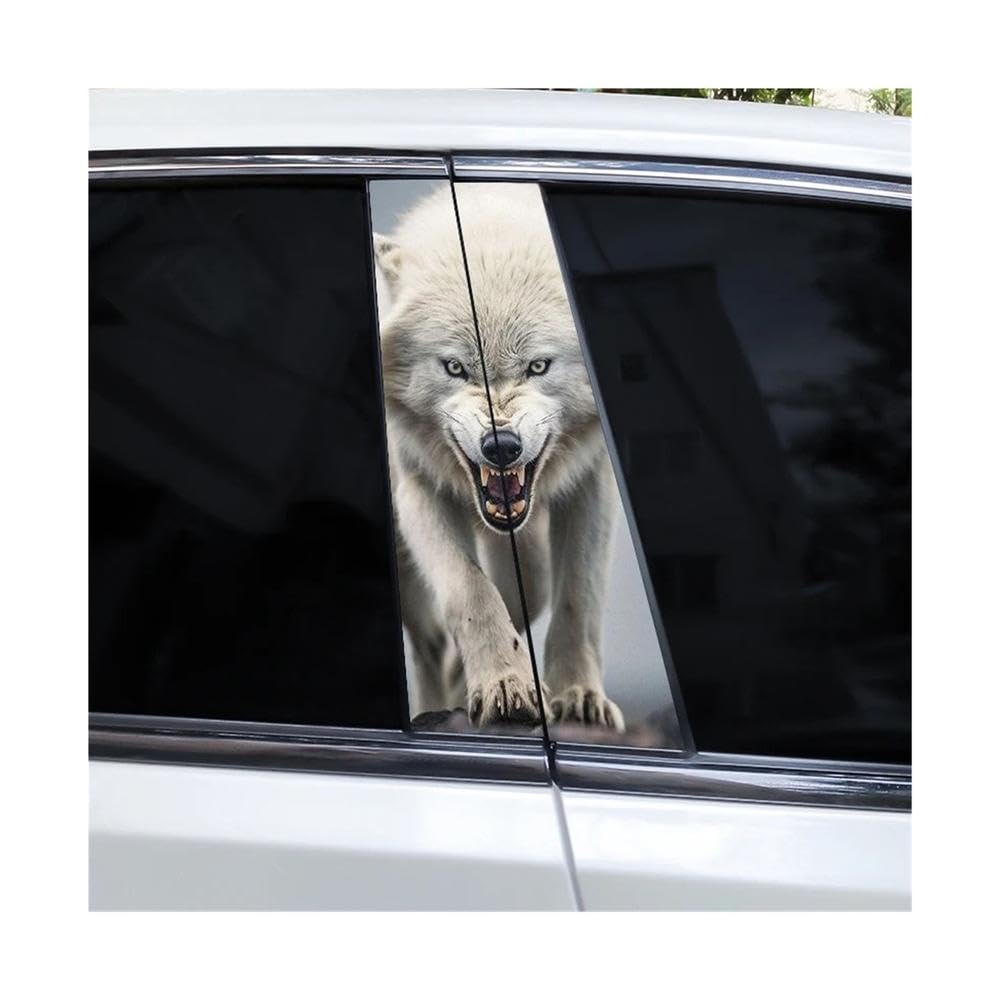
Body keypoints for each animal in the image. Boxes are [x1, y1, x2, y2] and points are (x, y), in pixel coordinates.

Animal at [374, 183, 624, 731]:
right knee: (429, 647)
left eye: (537, 366)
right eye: (455, 367)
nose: (501, 446)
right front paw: (505, 684)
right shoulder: (418, 490)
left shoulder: (591, 482)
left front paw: (576, 695)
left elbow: (577, 596)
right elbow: (470, 590)